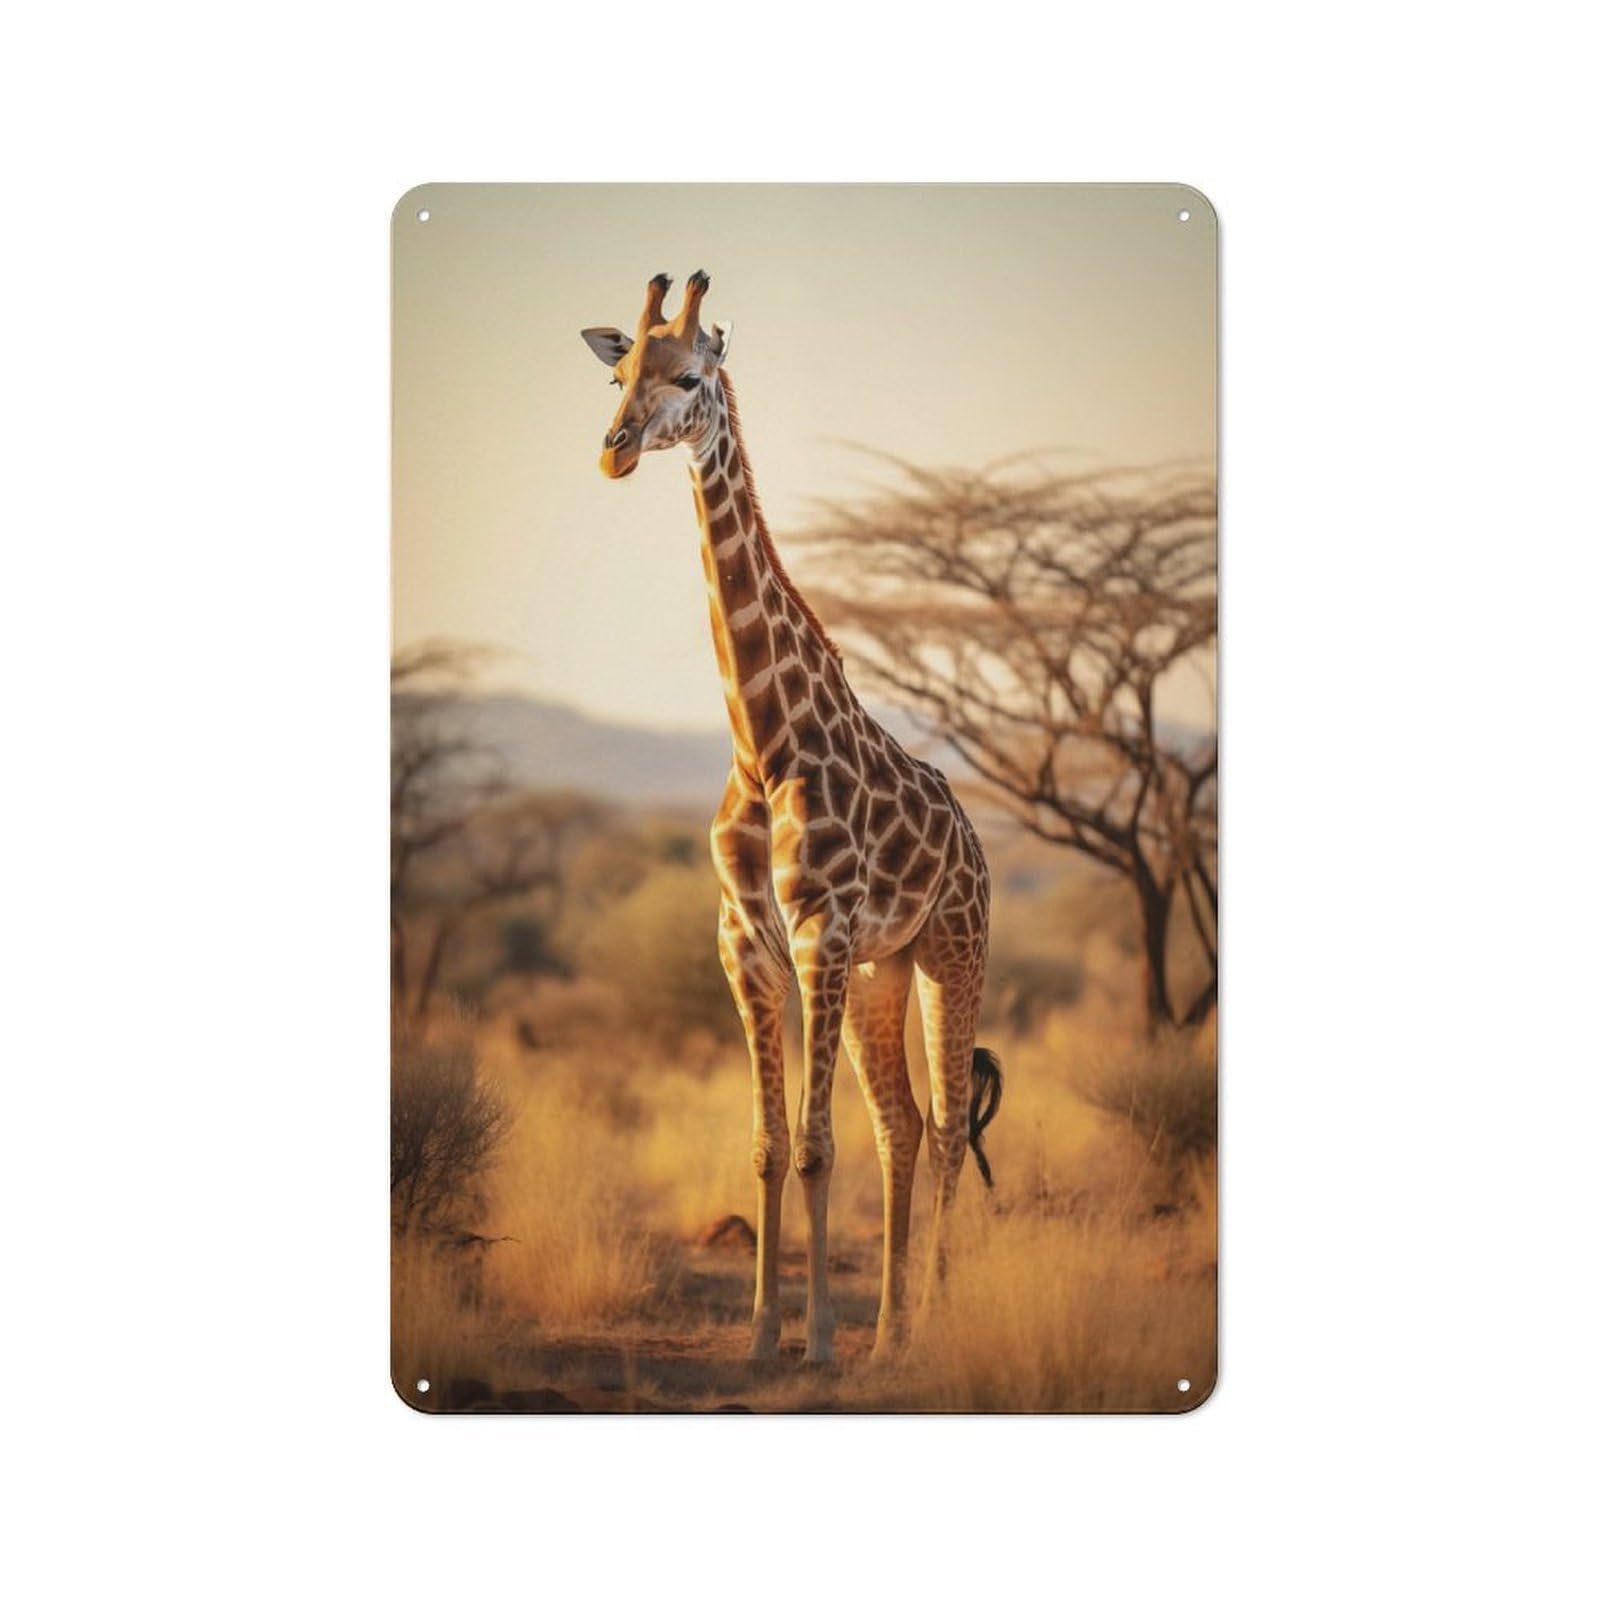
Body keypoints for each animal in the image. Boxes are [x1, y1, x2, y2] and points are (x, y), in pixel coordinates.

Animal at [581, 271, 1001, 1364]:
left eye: (689, 376)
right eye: (616, 372)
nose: (614, 450)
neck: (762, 744)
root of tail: (974, 839)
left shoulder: (819, 931)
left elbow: (815, 1146)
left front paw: (813, 1340)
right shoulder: (747, 945)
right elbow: (770, 1145)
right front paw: (765, 1332)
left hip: (950, 950)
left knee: (947, 1125)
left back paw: (929, 1323)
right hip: (880, 971)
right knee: (902, 1126)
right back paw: (889, 1332)